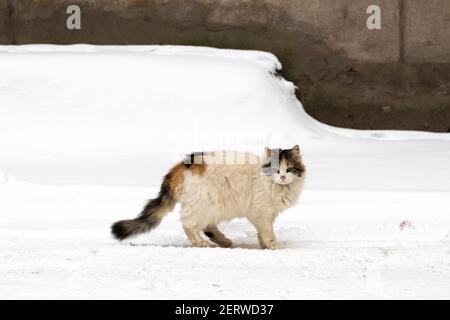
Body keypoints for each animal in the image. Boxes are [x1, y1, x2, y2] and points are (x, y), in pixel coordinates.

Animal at [111, 145, 306, 250]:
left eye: (289, 169)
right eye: (276, 170)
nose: (282, 177)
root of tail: (180, 166)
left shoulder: (263, 215)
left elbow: (261, 233)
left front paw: (264, 246)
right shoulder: (261, 213)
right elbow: (268, 233)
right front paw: (274, 246)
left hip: (215, 207)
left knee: (207, 227)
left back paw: (224, 241)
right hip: (203, 205)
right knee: (189, 225)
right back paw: (202, 243)